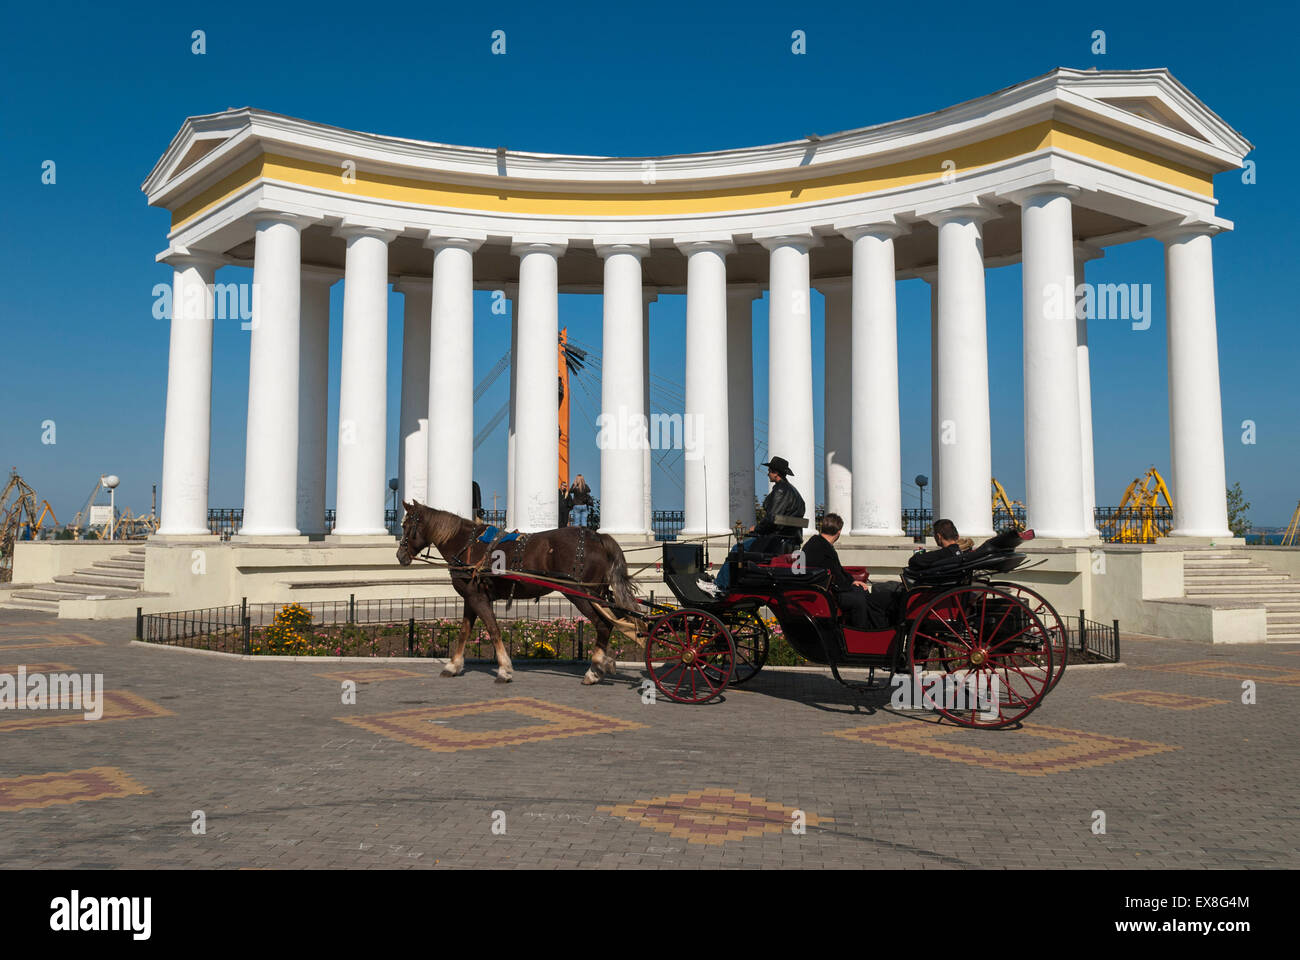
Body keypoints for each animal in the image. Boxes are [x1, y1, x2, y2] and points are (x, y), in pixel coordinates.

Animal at [395, 502, 639, 681]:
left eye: (407, 527)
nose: (400, 556)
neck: (468, 545)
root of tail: (597, 537)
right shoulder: (471, 598)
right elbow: (464, 631)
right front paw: (453, 665)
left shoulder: (477, 597)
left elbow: (493, 630)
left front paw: (504, 669)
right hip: (598, 594)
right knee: (613, 622)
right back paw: (604, 663)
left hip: (581, 594)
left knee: (603, 624)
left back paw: (594, 668)